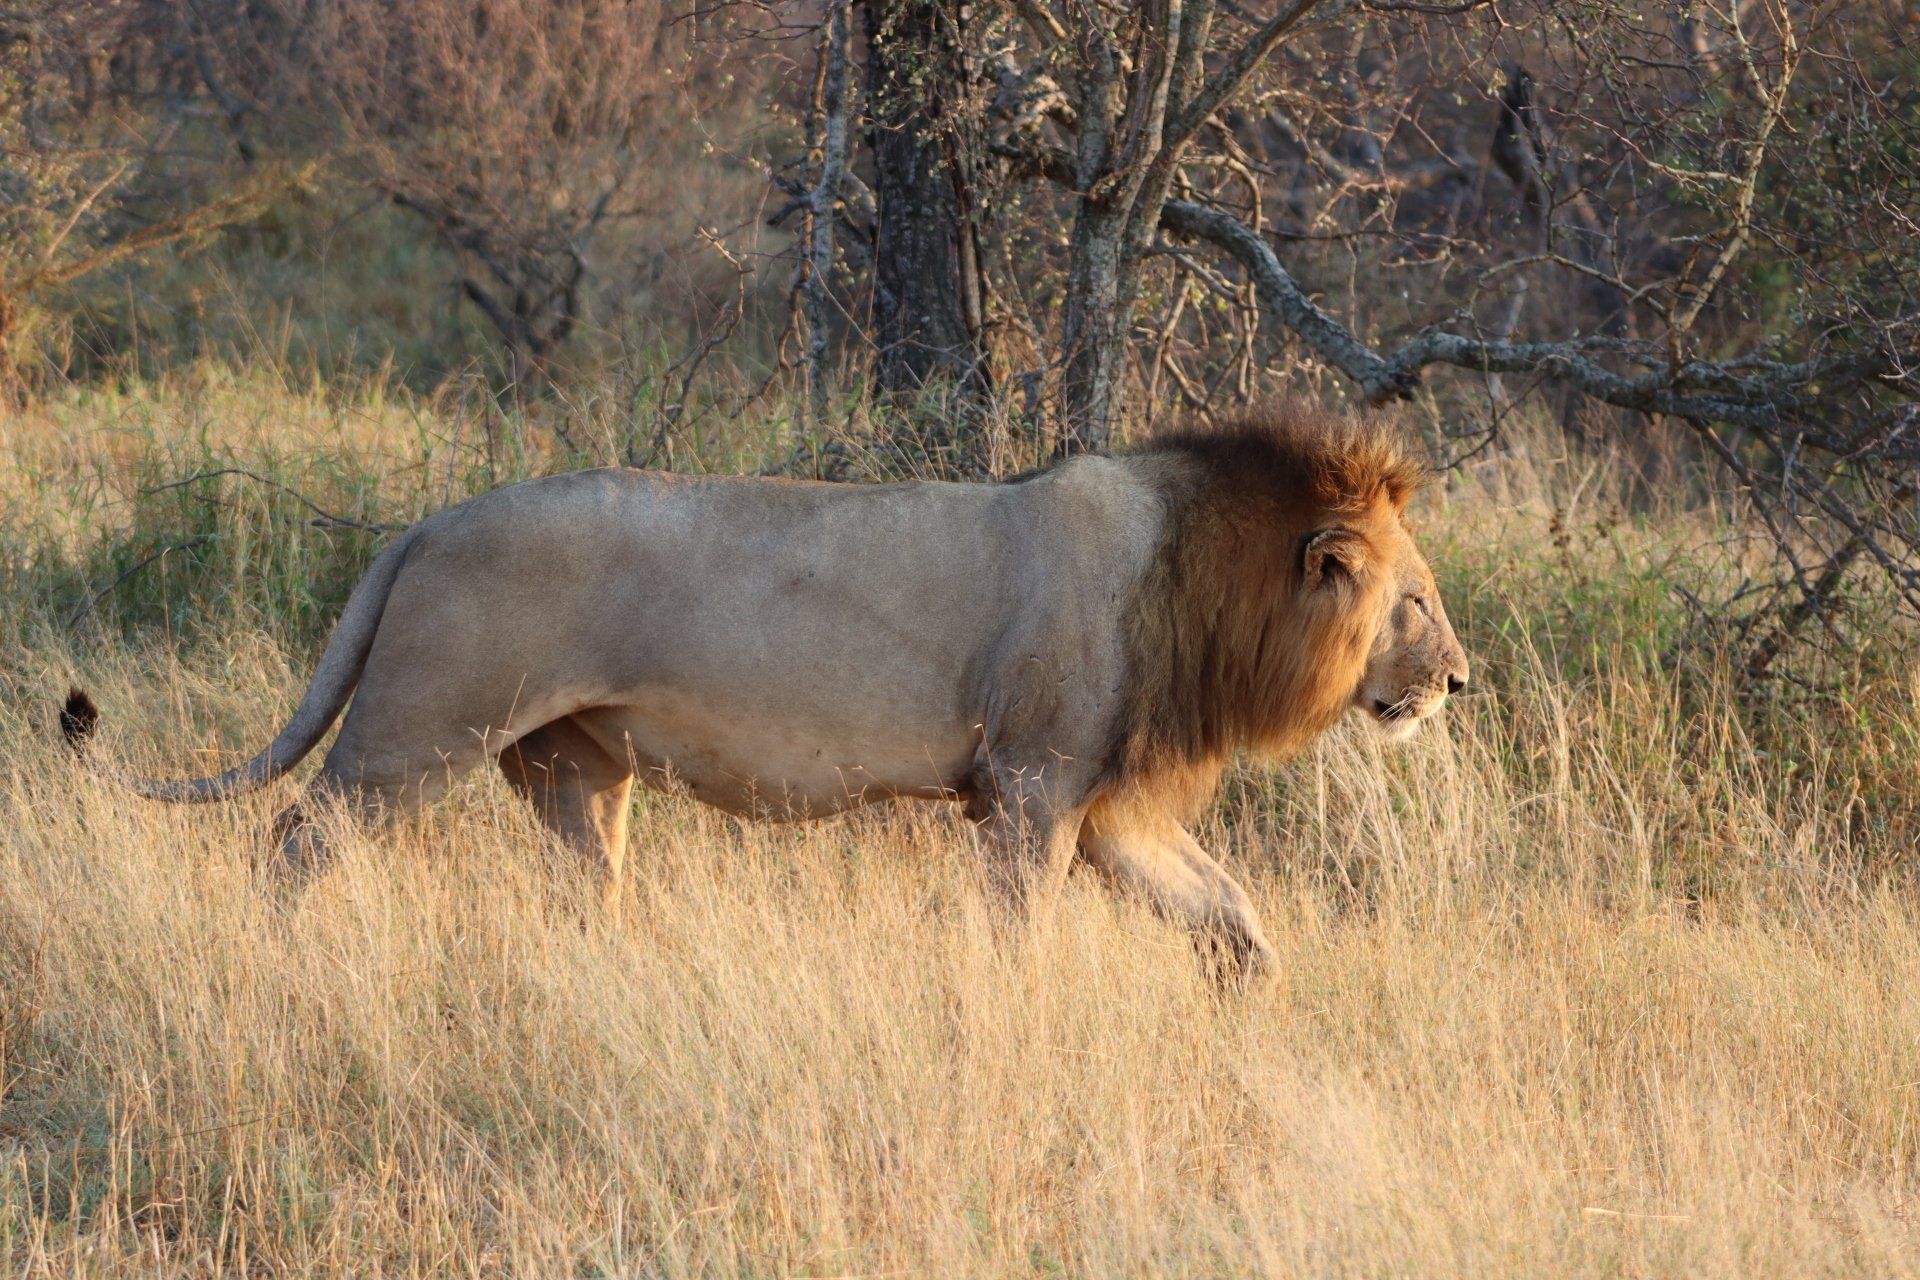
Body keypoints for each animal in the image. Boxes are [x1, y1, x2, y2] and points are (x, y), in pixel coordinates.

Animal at [63, 404, 1467, 977]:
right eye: (1415, 600)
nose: (1457, 677)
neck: (1207, 586)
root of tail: (426, 522)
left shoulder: (1102, 800)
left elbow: (1228, 907)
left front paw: (1254, 1002)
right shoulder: (1030, 784)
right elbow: (1013, 930)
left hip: (574, 769)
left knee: (585, 886)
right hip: (419, 729)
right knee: (294, 835)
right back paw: (275, 952)